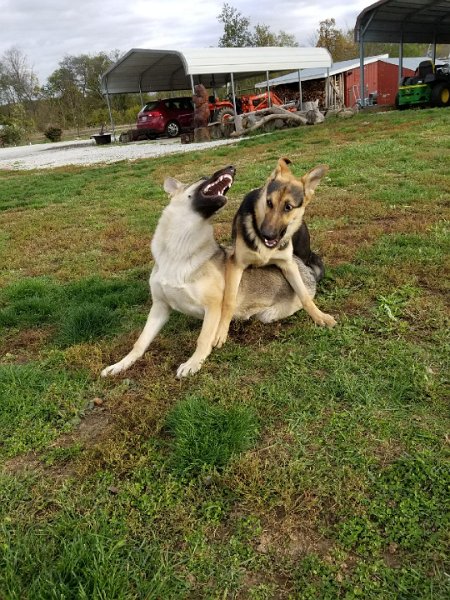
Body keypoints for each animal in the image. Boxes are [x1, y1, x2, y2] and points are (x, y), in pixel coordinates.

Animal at [215, 159, 338, 346]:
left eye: (288, 207)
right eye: (269, 203)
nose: (266, 234)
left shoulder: (289, 265)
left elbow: (304, 295)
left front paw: (319, 316)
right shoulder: (236, 264)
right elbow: (228, 302)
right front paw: (221, 331)